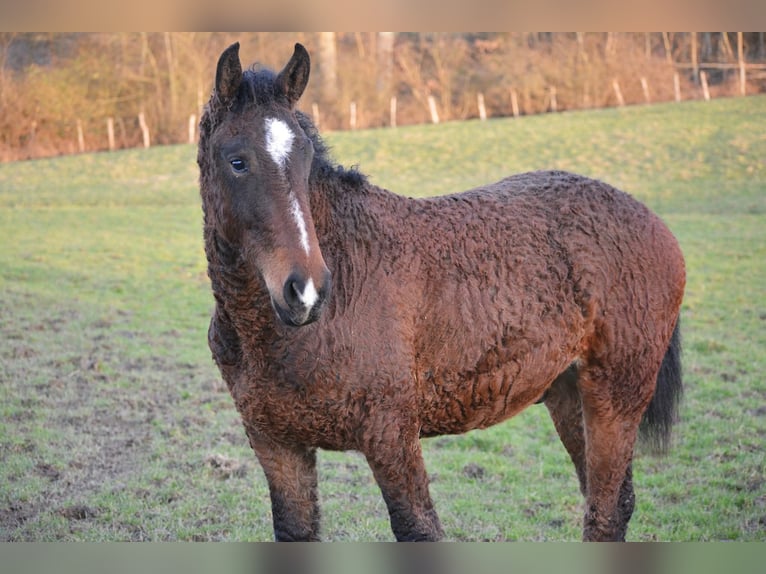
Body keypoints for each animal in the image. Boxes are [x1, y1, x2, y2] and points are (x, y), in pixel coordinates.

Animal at [198, 42, 685, 542]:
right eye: (237, 162)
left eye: (305, 160)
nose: (307, 291)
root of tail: (652, 220)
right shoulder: (277, 447)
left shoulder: (391, 435)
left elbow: (419, 529)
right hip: (569, 395)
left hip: (615, 398)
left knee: (606, 511)